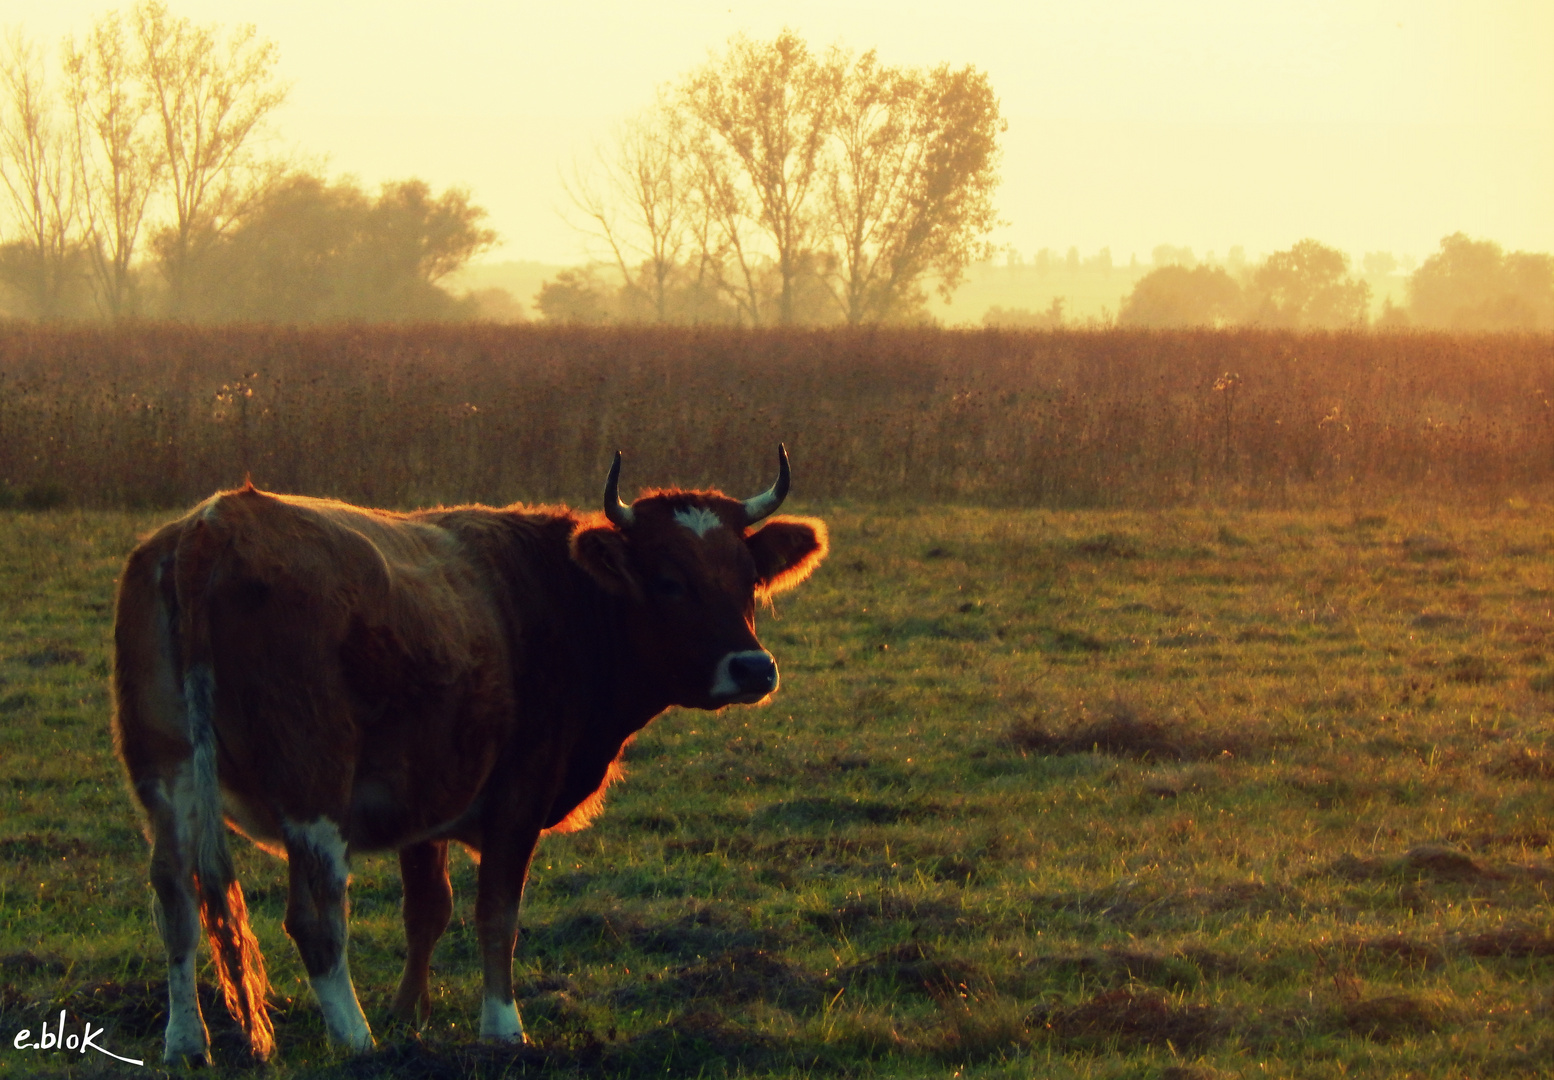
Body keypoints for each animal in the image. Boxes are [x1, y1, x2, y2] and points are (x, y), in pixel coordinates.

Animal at [109, 447, 826, 1062]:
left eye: (749, 579)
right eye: (670, 581)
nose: (753, 668)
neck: (557, 595)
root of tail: (213, 526)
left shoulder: (423, 800)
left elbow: (426, 911)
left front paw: (410, 1015)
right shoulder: (517, 795)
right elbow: (496, 915)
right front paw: (502, 1029)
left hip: (168, 778)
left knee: (174, 901)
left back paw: (186, 1041)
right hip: (313, 784)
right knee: (315, 916)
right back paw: (356, 1041)